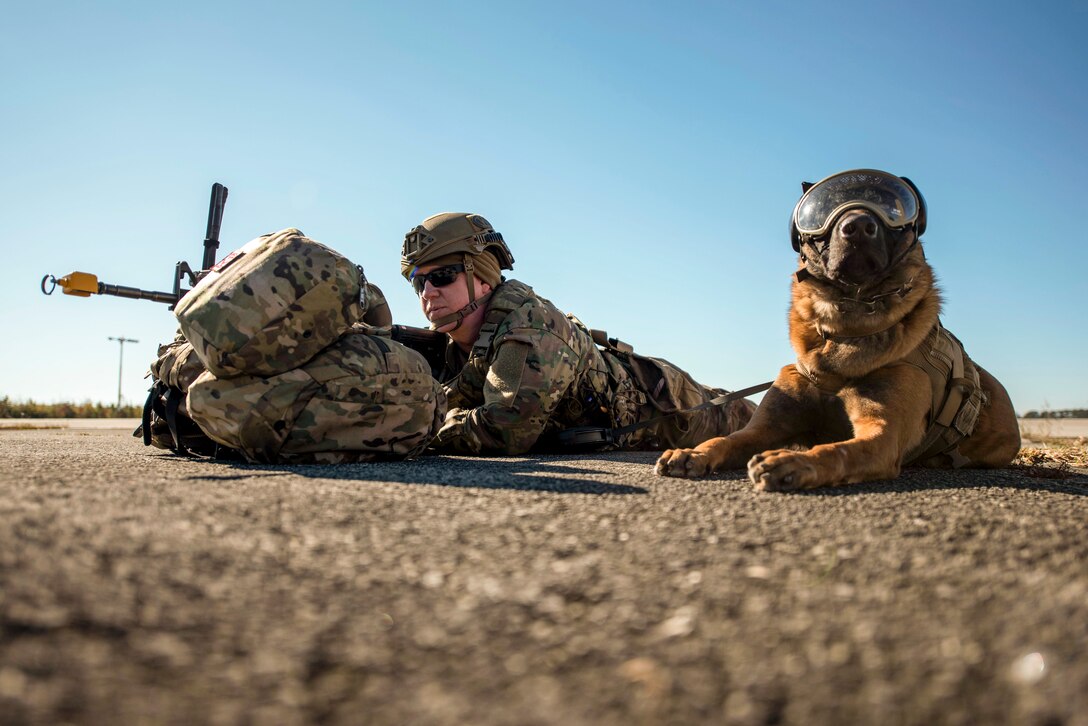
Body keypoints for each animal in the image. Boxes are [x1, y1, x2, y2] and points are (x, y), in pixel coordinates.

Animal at [652, 167, 1018, 491]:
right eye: (825, 207)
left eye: (889, 206)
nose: (858, 226)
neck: (840, 337)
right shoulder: (764, 429)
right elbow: (723, 440)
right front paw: (693, 453)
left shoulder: (881, 436)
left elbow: (838, 449)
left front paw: (794, 463)